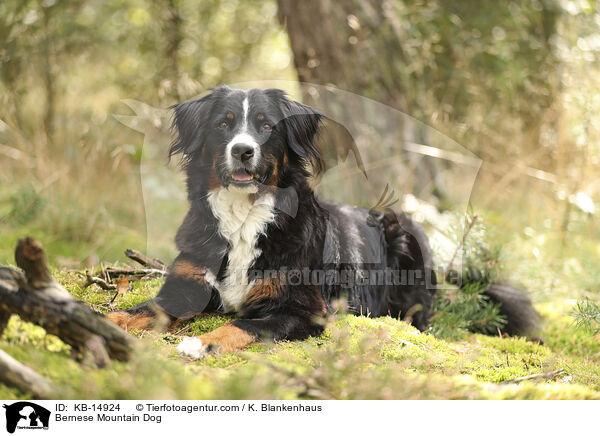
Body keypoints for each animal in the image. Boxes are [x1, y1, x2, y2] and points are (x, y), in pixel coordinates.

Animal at [106, 86, 540, 358]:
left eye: (266, 125)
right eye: (223, 124)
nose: (243, 150)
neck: (244, 217)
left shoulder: (302, 310)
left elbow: (243, 325)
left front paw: (201, 343)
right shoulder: (186, 286)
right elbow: (140, 310)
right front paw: (105, 320)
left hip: (401, 230)